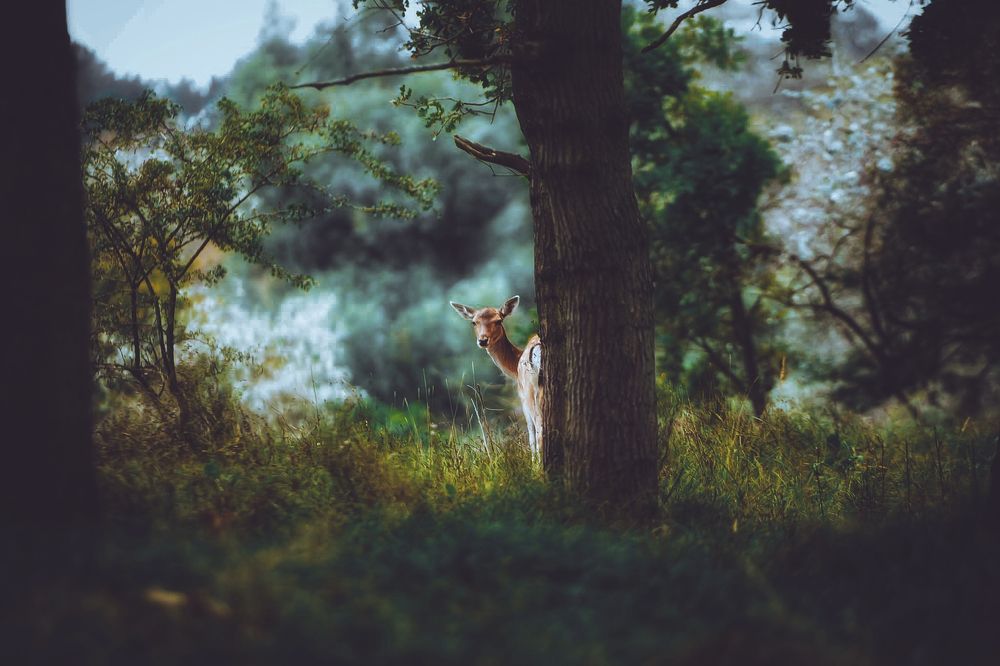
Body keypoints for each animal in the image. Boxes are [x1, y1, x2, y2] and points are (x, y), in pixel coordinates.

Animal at [450, 296, 543, 460]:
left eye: (499, 320)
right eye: (474, 322)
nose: (482, 340)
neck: (514, 369)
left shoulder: (523, 396)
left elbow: (531, 433)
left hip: (531, 390)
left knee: (538, 428)